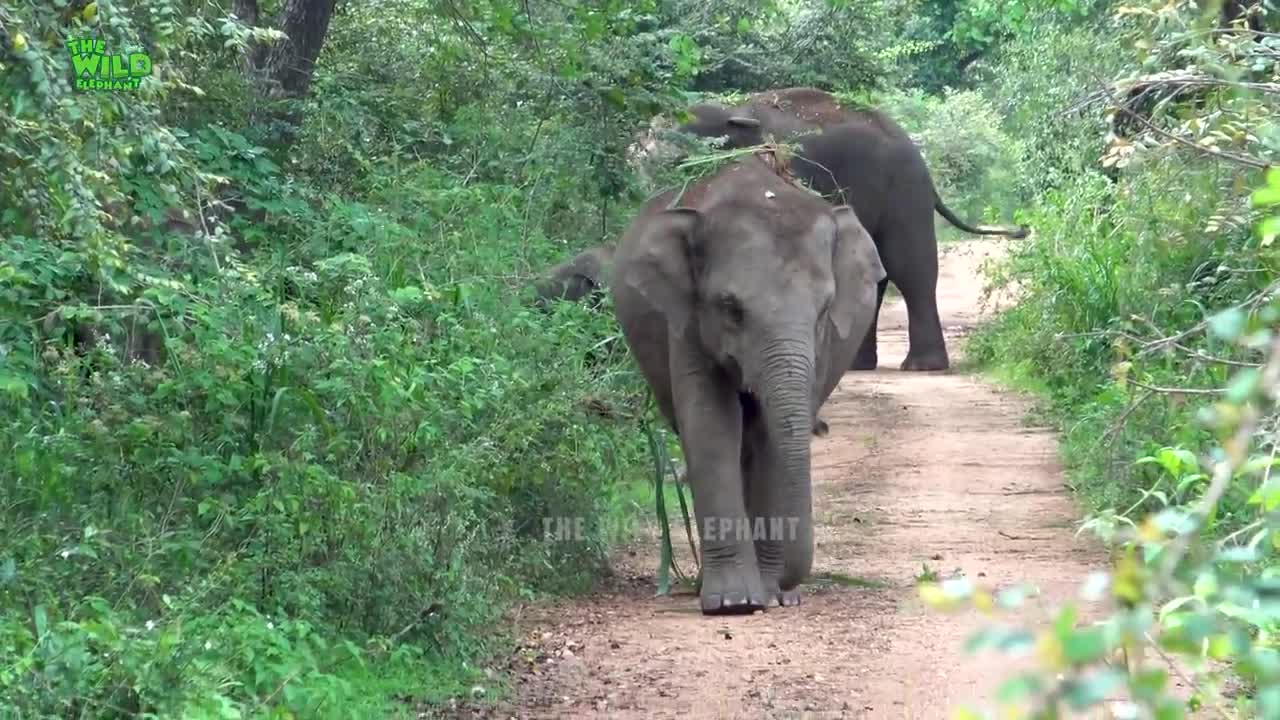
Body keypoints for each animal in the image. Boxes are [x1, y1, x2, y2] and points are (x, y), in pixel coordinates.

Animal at [614, 149, 885, 609]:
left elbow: (769, 434)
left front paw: (769, 596)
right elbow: (711, 422)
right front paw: (733, 603)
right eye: (731, 308)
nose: (789, 590)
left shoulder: (824, 344)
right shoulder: (686, 321)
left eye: (824, 308)